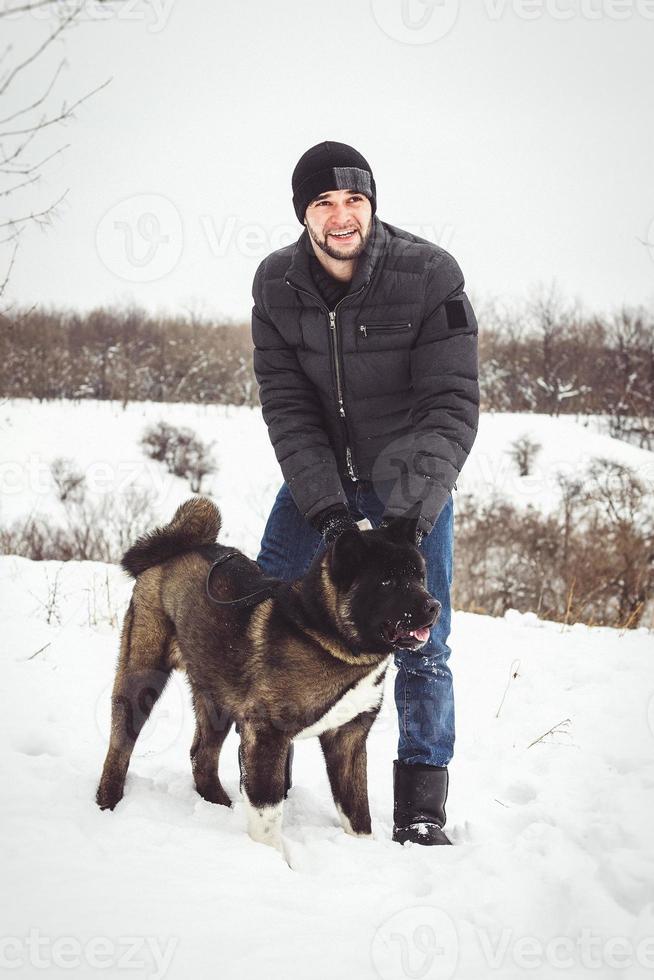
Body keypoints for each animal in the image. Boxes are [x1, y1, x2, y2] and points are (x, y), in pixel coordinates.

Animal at [96, 498, 440, 848]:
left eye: (419, 576)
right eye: (387, 582)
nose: (434, 606)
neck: (326, 634)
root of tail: (174, 550)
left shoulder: (348, 740)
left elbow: (358, 813)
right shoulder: (266, 733)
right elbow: (267, 812)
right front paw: (271, 855)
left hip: (217, 698)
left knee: (201, 756)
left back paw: (219, 806)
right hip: (142, 678)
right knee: (120, 744)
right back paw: (107, 802)